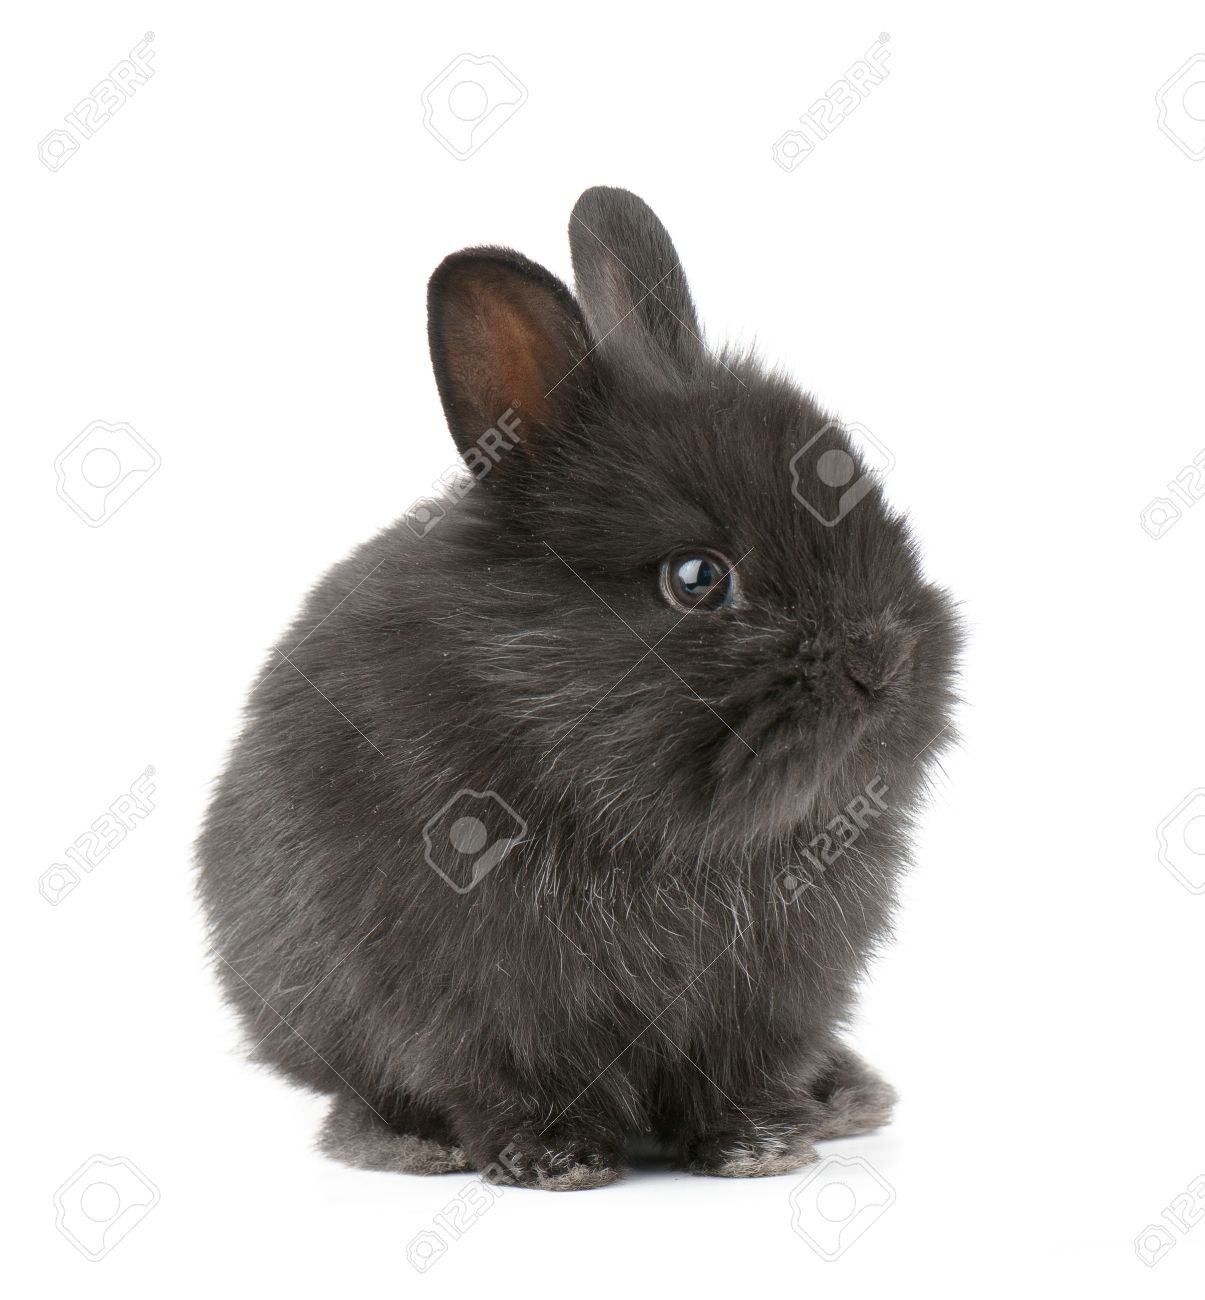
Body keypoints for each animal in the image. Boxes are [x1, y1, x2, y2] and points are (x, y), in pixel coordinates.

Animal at [197, 185, 962, 1191]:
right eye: (696, 578)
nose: (884, 664)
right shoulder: (477, 1002)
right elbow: (509, 1079)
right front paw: (555, 1160)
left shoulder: (770, 998)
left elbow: (739, 1077)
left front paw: (759, 1148)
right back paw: (405, 1142)